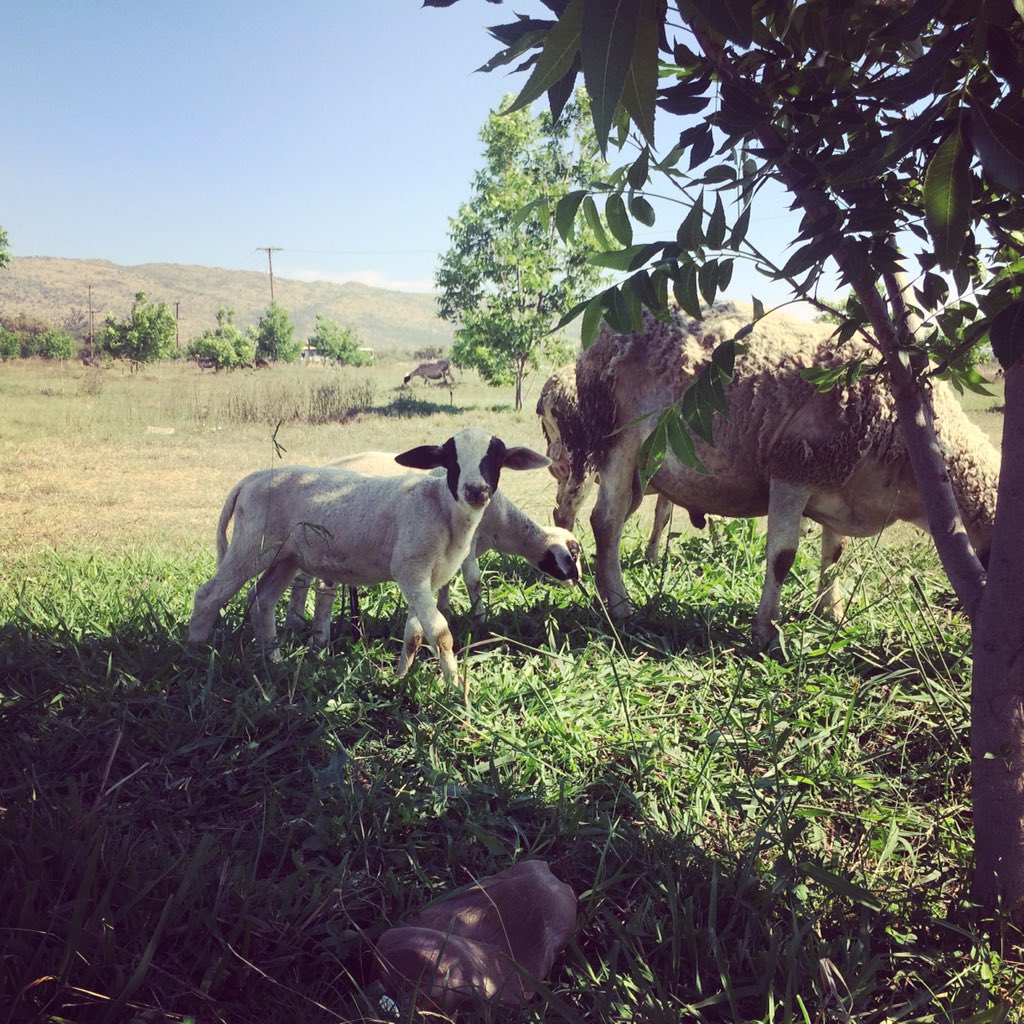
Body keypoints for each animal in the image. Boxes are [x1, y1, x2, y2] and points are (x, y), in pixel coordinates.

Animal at [187, 427, 550, 703]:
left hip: (286, 557)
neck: (441, 508)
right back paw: (195, 654)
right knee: (209, 595)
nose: (476, 490)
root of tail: (248, 481)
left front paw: (400, 677)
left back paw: (274, 661)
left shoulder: (427, 579)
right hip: (251, 546)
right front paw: (457, 692)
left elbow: (414, 634)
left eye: (496, 458)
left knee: (262, 598)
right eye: (451, 459)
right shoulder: (410, 569)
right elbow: (440, 633)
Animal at [284, 450, 582, 643]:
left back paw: (295, 624)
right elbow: (474, 581)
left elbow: (447, 582)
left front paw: (446, 608)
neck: (503, 523)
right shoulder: (468, 543)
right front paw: (481, 619)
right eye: (573, 554)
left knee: (301, 579)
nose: (577, 583)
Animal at [560, 301, 998, 647]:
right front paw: (766, 632)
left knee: (613, 518)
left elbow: (834, 554)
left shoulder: (834, 481)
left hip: (642, 467)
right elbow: (782, 558)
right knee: (606, 519)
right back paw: (620, 605)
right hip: (619, 435)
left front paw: (829, 612)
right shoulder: (792, 471)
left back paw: (605, 593)